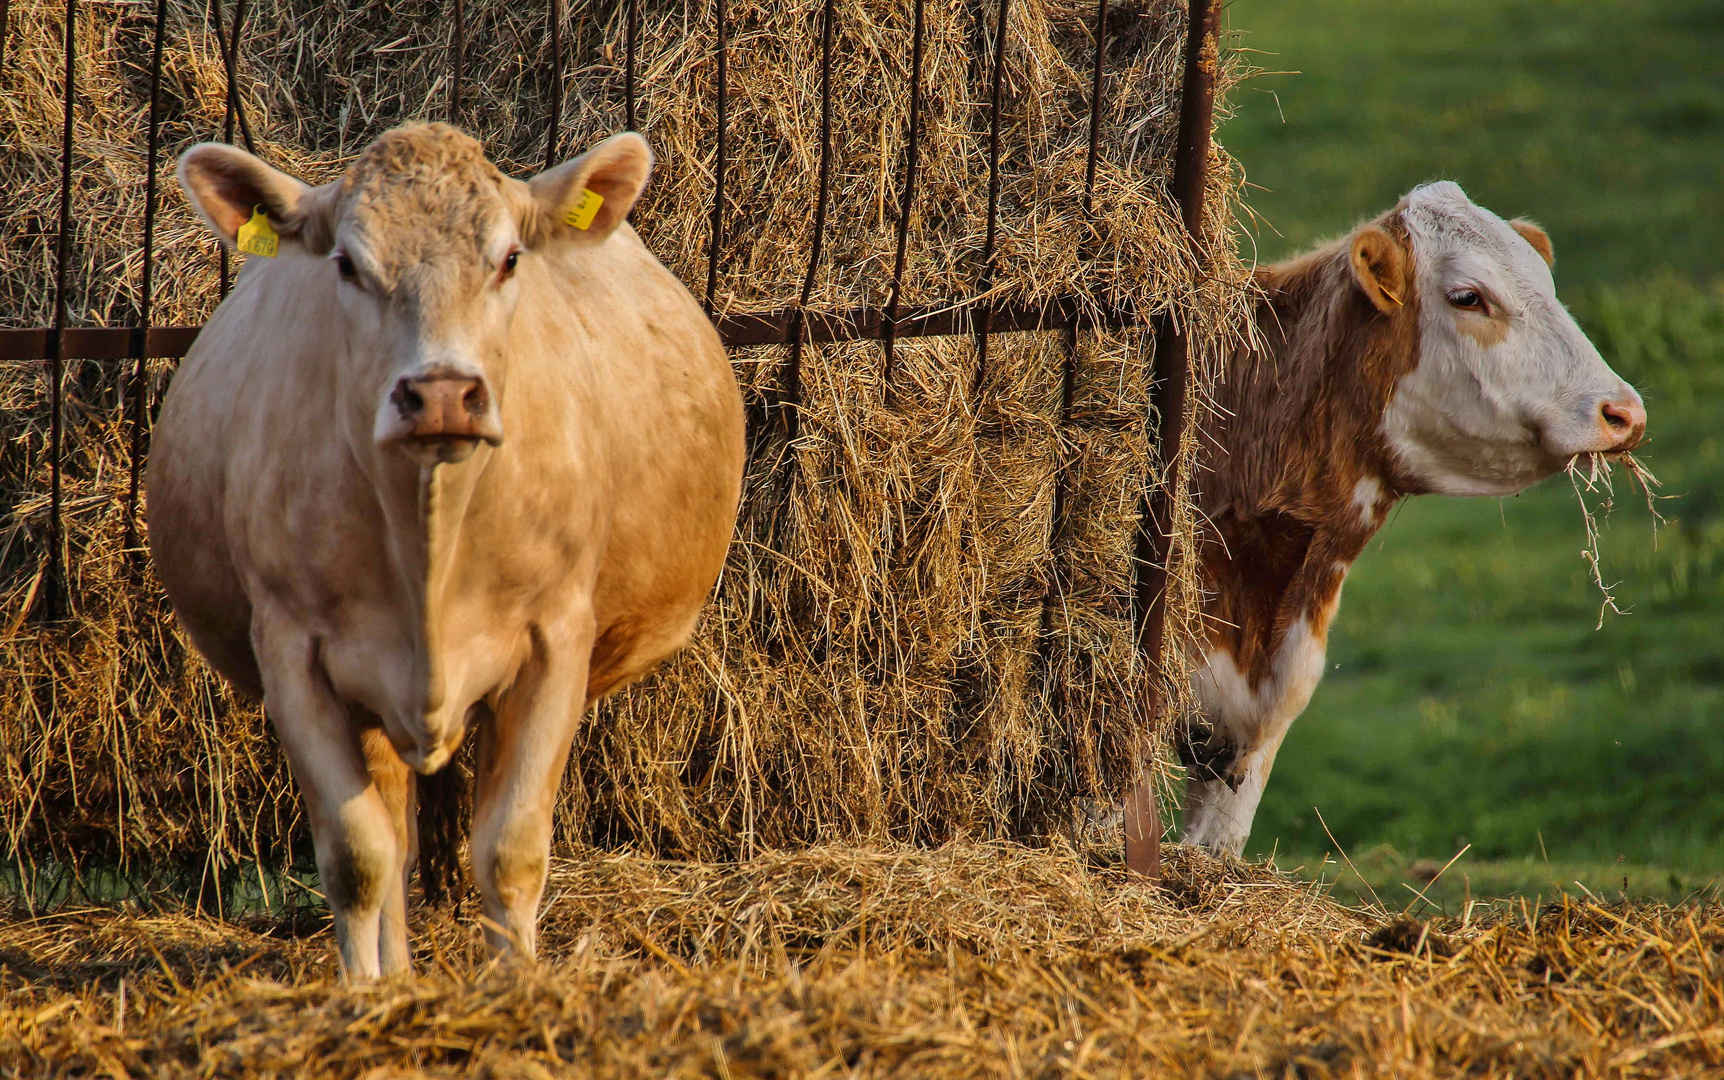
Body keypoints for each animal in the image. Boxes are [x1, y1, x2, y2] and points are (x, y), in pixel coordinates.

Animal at [158, 124, 751, 973]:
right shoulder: (291, 652)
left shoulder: (556, 641)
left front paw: (517, 983)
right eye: (347, 264)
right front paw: (370, 990)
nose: (441, 393)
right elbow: (358, 856)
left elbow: (510, 851)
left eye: (509, 259)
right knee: (395, 840)